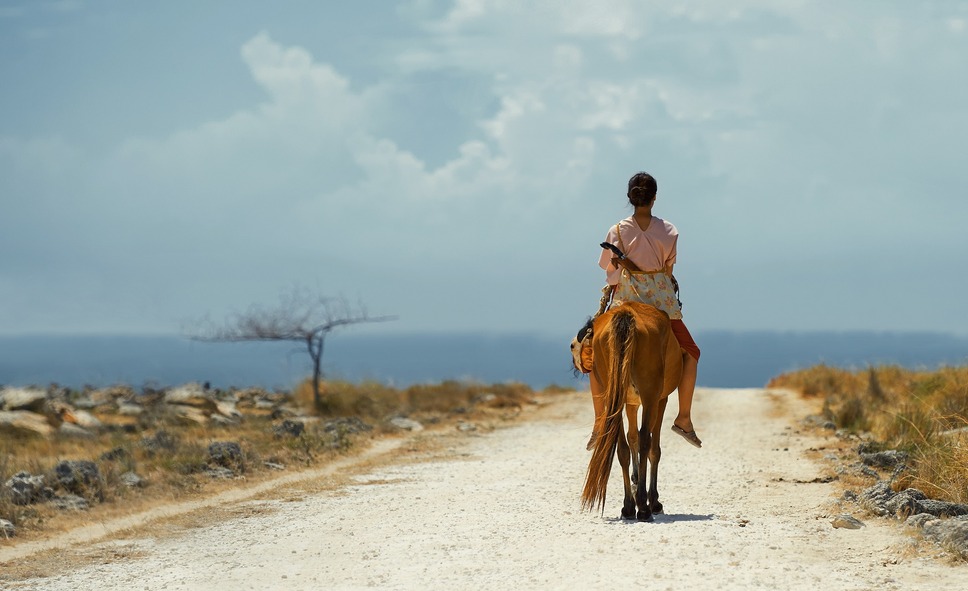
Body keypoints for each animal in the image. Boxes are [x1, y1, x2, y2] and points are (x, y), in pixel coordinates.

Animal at [576, 302, 680, 520]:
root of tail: (626, 313)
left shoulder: (630, 403)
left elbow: (631, 438)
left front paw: (635, 481)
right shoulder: (660, 399)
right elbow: (653, 448)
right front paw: (653, 500)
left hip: (615, 396)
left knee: (622, 447)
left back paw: (629, 506)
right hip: (649, 395)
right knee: (645, 441)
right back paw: (643, 506)